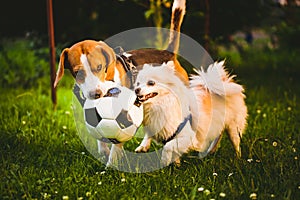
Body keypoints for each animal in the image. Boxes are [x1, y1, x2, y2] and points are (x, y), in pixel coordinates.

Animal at [54, 0, 188, 167]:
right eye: (78, 73)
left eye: (99, 67)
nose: (96, 94)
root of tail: (168, 54)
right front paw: (103, 150)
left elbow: (116, 146)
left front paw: (110, 166)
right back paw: (145, 146)